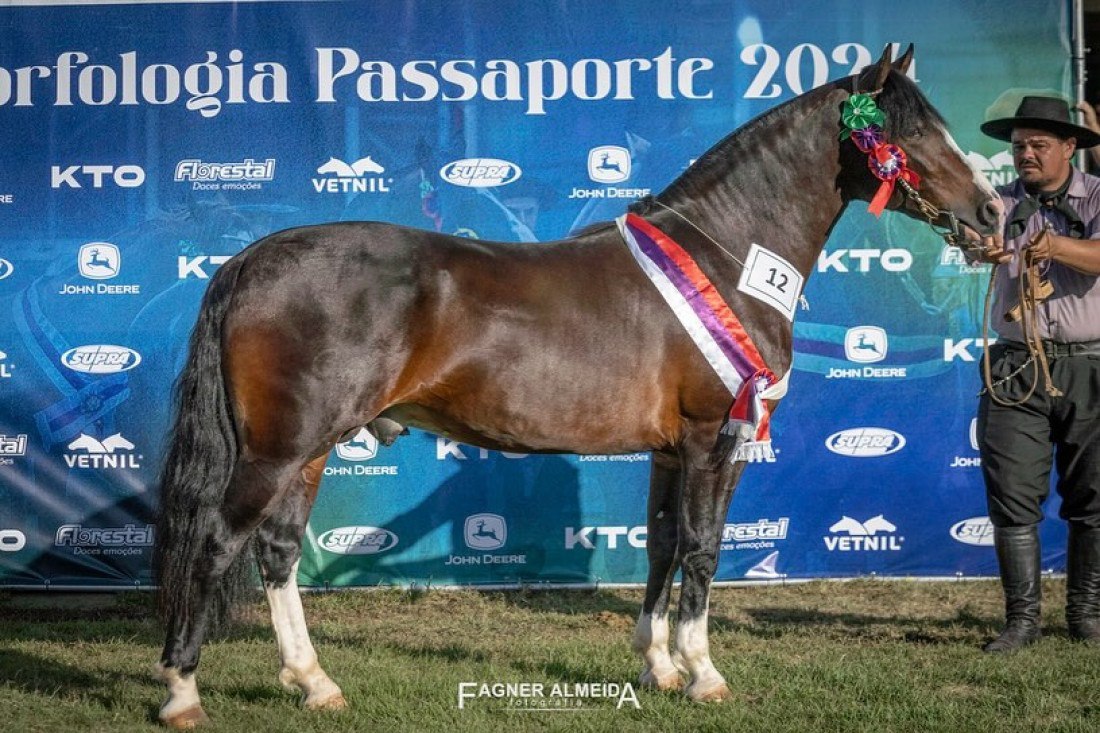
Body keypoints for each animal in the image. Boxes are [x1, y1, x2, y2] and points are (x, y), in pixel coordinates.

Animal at [152, 47, 1007, 726]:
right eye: (911, 132)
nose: (992, 210)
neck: (729, 255)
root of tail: (251, 258)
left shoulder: (671, 450)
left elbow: (662, 545)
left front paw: (657, 665)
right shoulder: (714, 437)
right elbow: (703, 548)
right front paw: (703, 671)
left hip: (308, 448)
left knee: (277, 549)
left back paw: (314, 682)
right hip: (281, 446)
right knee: (217, 539)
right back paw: (183, 690)